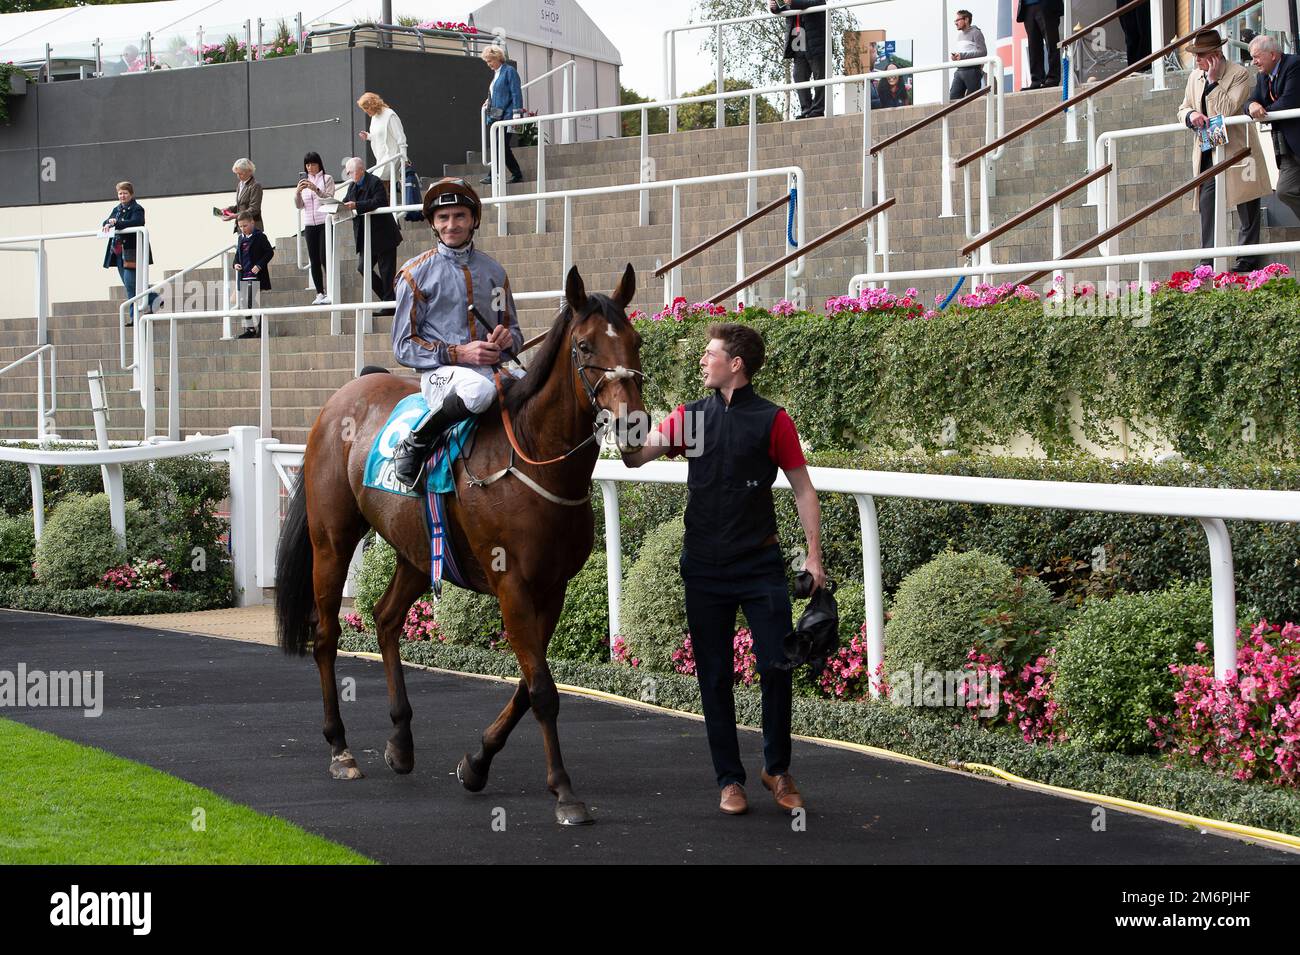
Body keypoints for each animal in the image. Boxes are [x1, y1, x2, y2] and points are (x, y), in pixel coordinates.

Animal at [275, 265, 644, 826]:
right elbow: (542, 690)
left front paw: (476, 763)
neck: (532, 460)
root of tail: (347, 391)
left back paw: (401, 741)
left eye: (635, 340)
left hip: (415, 549)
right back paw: (340, 749)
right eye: (584, 346)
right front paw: (563, 792)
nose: (633, 424)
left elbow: (528, 686)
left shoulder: (553, 588)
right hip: (332, 541)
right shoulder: (512, 585)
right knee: (325, 635)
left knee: (385, 619)